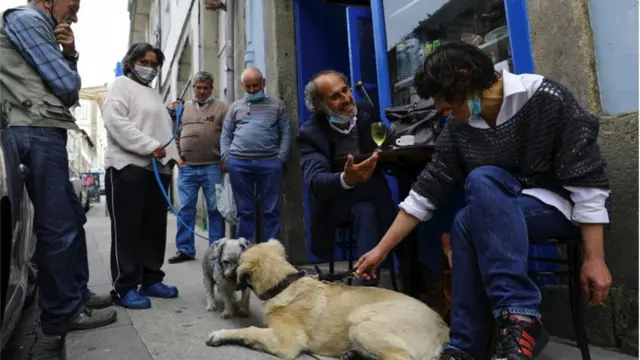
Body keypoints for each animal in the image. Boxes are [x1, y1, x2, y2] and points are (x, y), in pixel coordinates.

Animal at [205, 239, 450, 360]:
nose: (225, 276)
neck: (285, 283)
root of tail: (444, 328)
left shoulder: (287, 343)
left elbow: (251, 330)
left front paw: (220, 335)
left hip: (362, 322)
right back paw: (352, 353)